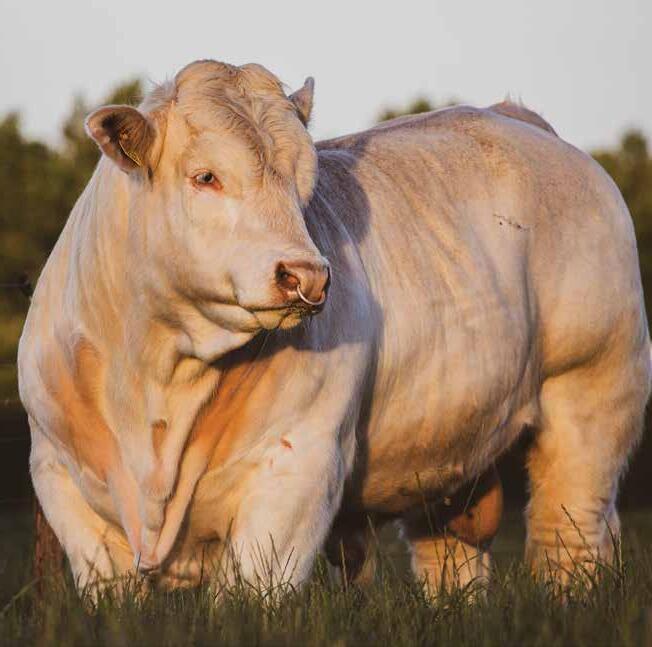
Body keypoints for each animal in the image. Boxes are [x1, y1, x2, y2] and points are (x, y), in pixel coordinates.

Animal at [18, 59, 651, 597]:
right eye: (205, 176)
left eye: (304, 185)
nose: (307, 276)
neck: (155, 376)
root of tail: (517, 119)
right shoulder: (61, 479)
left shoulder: (297, 471)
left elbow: (255, 593)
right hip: (446, 454)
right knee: (453, 561)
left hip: (593, 397)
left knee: (569, 540)